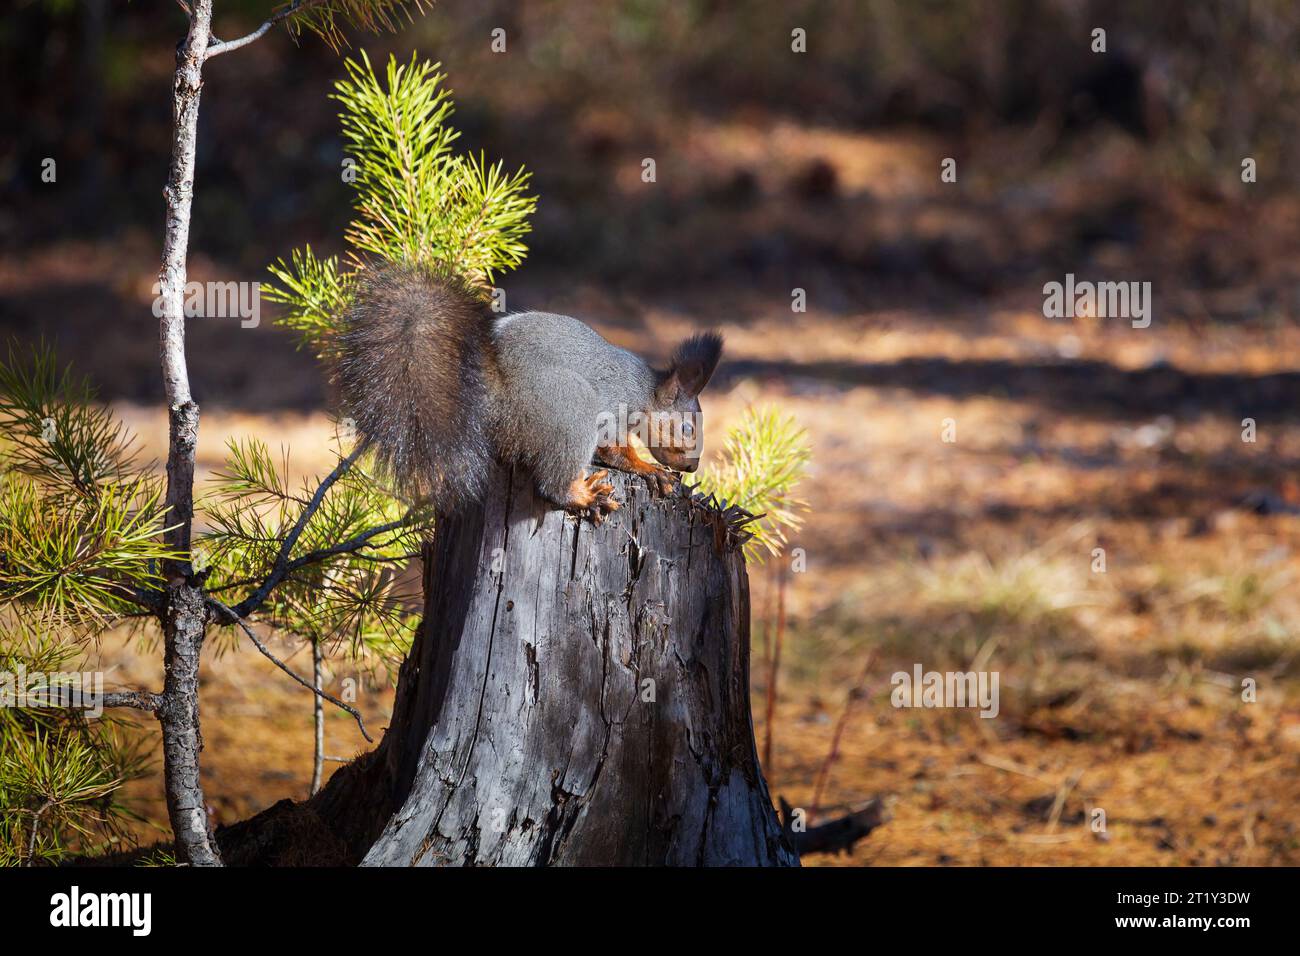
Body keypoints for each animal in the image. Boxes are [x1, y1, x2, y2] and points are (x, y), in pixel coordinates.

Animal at [335, 263, 723, 522]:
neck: (644, 391)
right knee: (552, 484)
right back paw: (584, 496)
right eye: (686, 428)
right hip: (571, 406)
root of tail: (494, 396)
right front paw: (649, 468)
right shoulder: (614, 405)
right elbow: (616, 451)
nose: (692, 467)